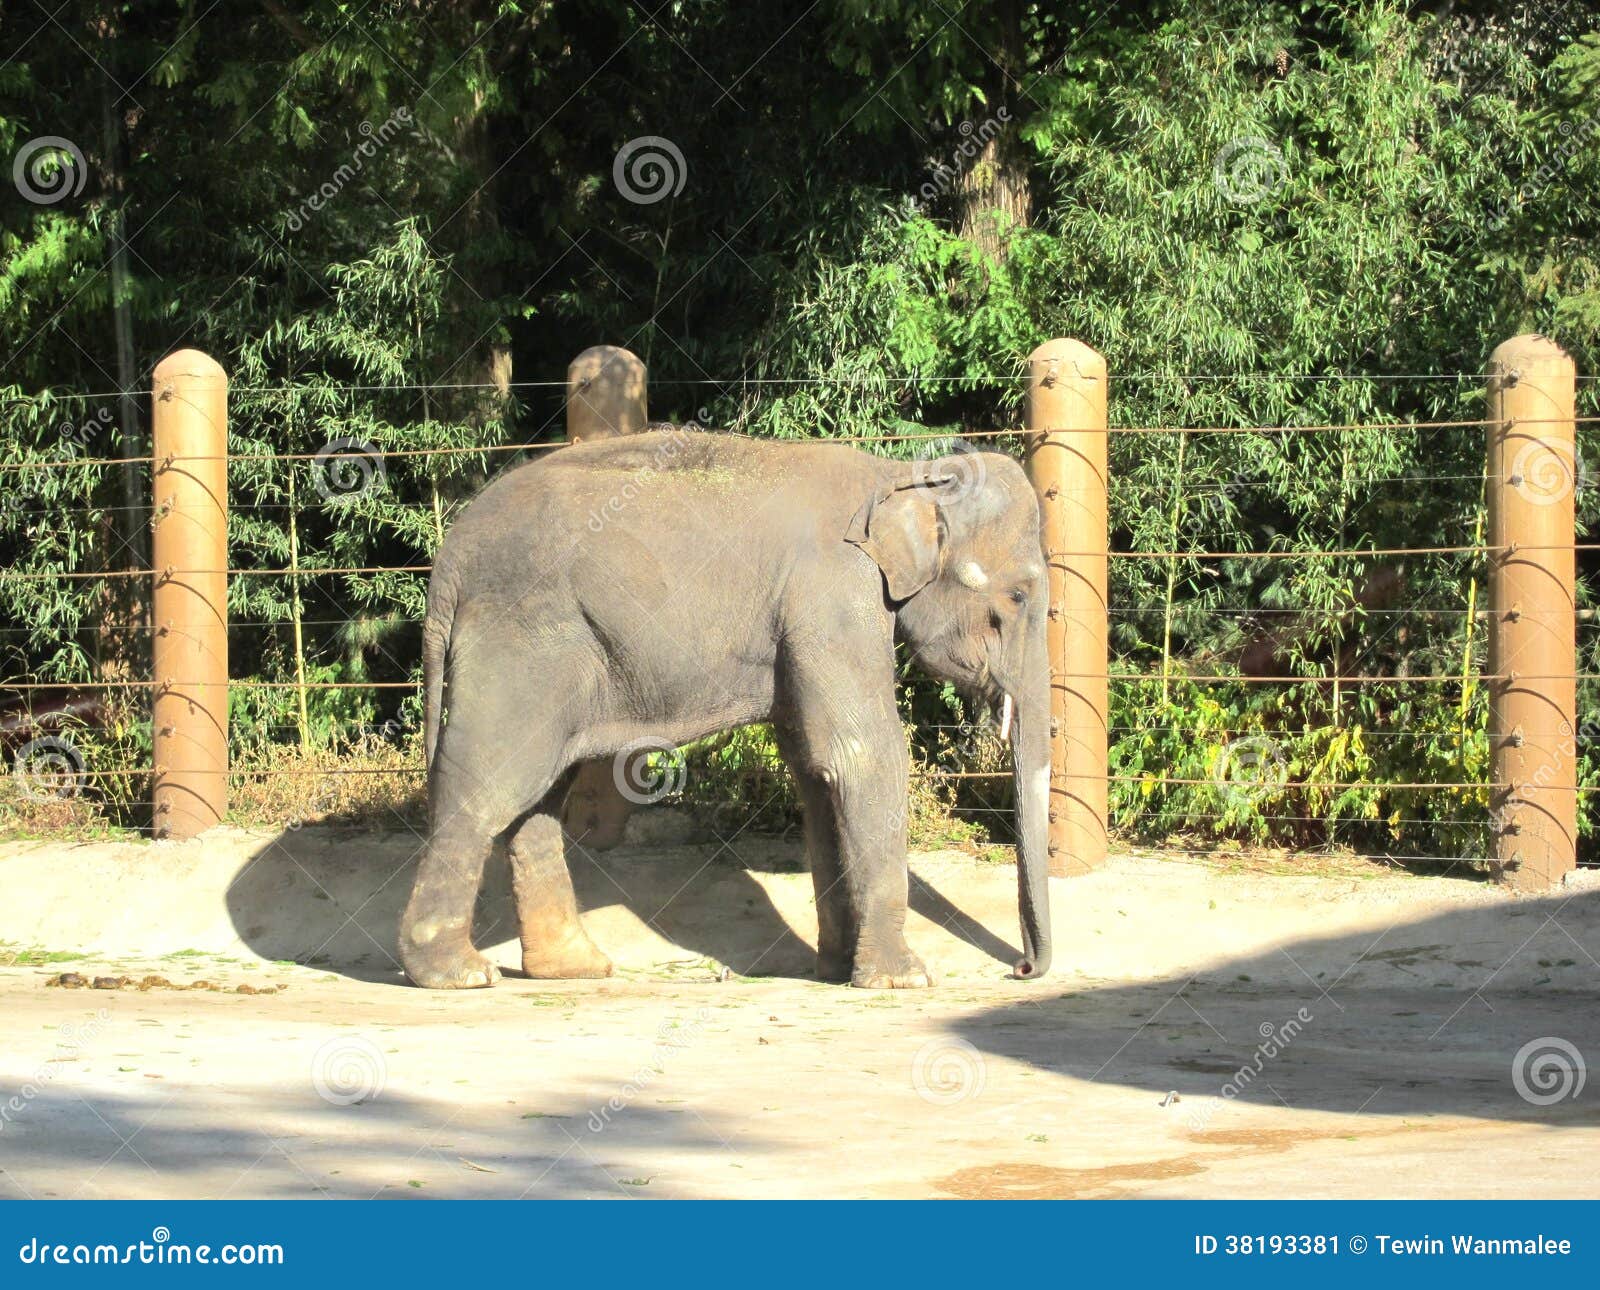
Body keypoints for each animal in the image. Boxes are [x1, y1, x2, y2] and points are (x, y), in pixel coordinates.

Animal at [398, 427, 1054, 990]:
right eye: (1018, 597)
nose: (1021, 969)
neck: (899, 475)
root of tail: (448, 559)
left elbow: (815, 771)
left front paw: (837, 970)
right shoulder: (834, 595)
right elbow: (860, 756)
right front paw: (904, 980)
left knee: (537, 798)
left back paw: (575, 970)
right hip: (524, 642)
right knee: (490, 784)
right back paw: (459, 975)